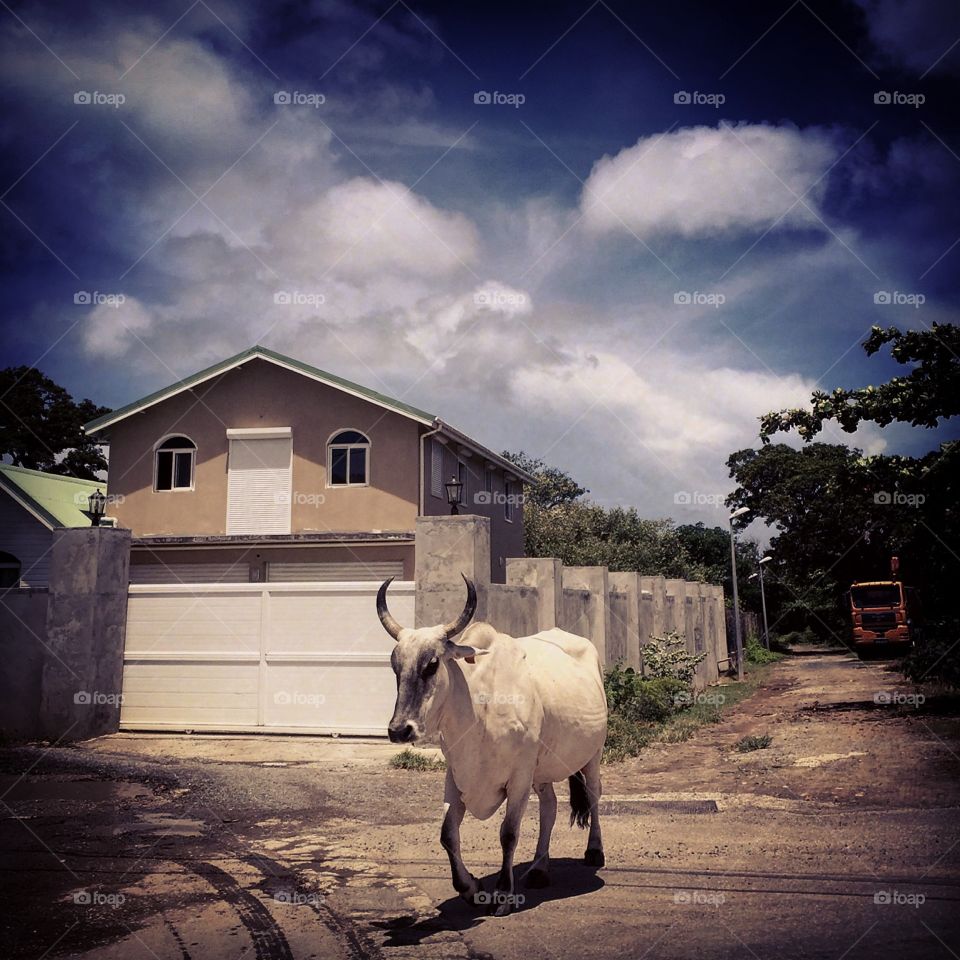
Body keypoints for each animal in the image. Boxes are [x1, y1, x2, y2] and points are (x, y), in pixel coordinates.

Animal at [376, 568, 608, 916]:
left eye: (432, 664)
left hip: (592, 754)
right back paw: (539, 868)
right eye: (395, 667)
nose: (400, 730)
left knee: (593, 795)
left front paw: (503, 893)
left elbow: (508, 833)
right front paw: (470, 888)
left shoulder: (518, 778)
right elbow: (447, 834)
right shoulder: (456, 776)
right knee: (550, 807)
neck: (479, 710)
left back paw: (594, 851)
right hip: (541, 771)